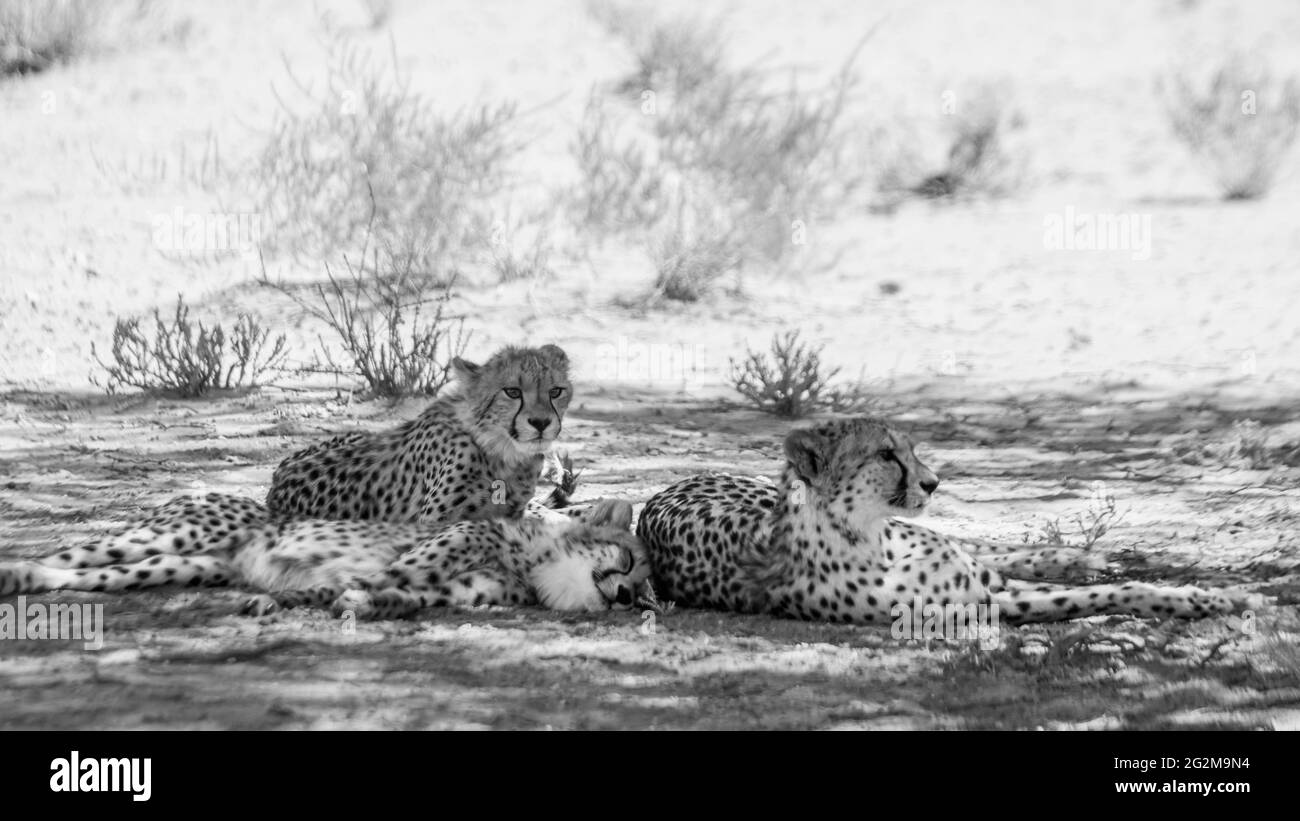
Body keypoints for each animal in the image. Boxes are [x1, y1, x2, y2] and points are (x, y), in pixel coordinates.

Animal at [639, 420, 1237, 626]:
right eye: (886, 454)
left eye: (910, 447)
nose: (932, 482)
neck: (869, 538)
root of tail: (660, 493)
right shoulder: (983, 604)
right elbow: (1097, 597)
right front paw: (1203, 600)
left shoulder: (975, 584)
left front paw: (1210, 594)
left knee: (986, 550)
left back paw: (1079, 555)